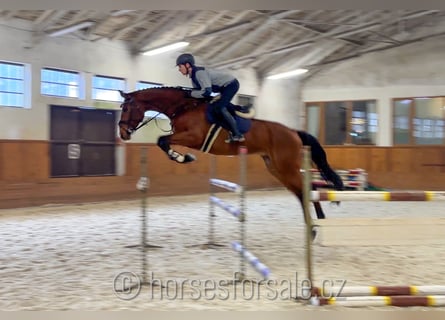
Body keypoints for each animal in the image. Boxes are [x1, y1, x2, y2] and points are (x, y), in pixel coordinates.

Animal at [116, 87, 342, 226]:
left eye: (126, 108)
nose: (123, 134)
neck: (184, 107)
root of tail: (294, 132)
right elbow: (162, 141)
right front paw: (181, 157)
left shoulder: (192, 137)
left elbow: (162, 140)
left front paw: (183, 158)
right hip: (277, 168)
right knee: (302, 191)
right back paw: (315, 225)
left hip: (286, 167)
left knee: (307, 189)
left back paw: (317, 223)